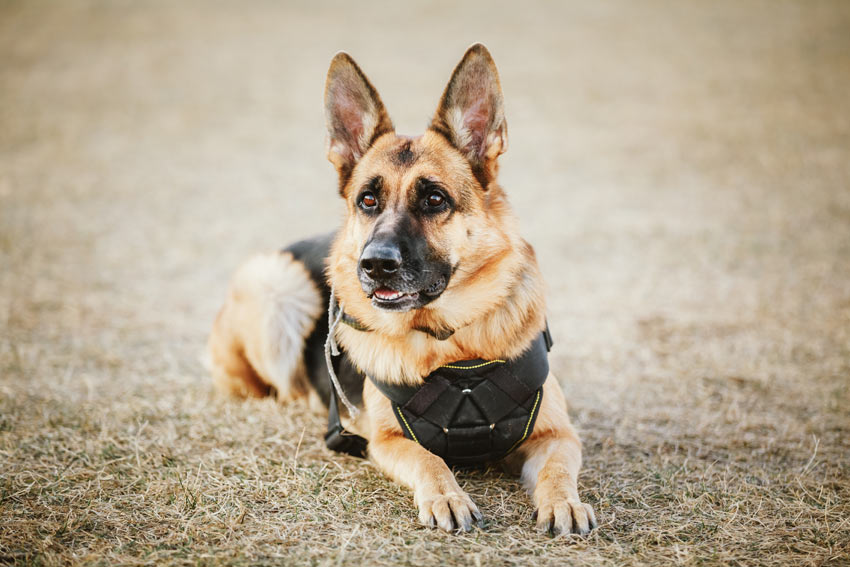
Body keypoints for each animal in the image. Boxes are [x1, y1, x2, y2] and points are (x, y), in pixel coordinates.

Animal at [210, 44, 596, 536]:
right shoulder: (387, 440)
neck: (452, 345)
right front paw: (447, 496)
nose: (375, 265)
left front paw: (565, 503)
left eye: (434, 199)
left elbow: (558, 470)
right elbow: (429, 459)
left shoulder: (556, 433)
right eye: (368, 200)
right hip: (275, 283)